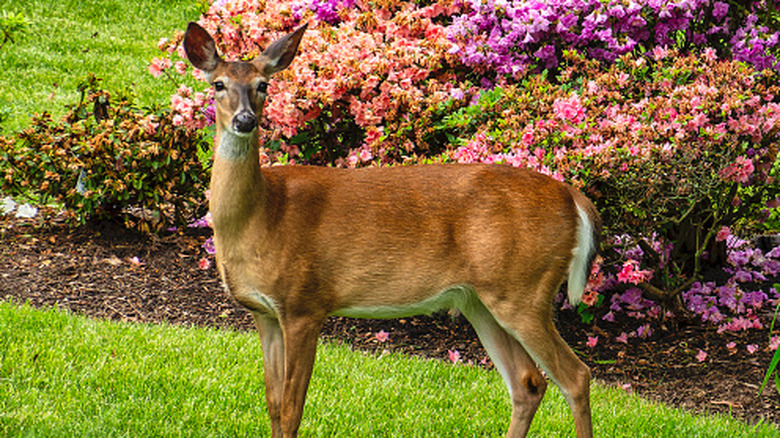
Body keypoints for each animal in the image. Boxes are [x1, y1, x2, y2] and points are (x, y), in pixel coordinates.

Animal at [183, 21, 601, 438]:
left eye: (263, 85)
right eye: (218, 84)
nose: (245, 120)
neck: (262, 216)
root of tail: (572, 196)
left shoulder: (304, 303)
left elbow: (290, 410)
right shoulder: (264, 312)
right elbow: (272, 405)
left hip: (524, 289)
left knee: (576, 376)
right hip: (480, 298)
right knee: (528, 382)